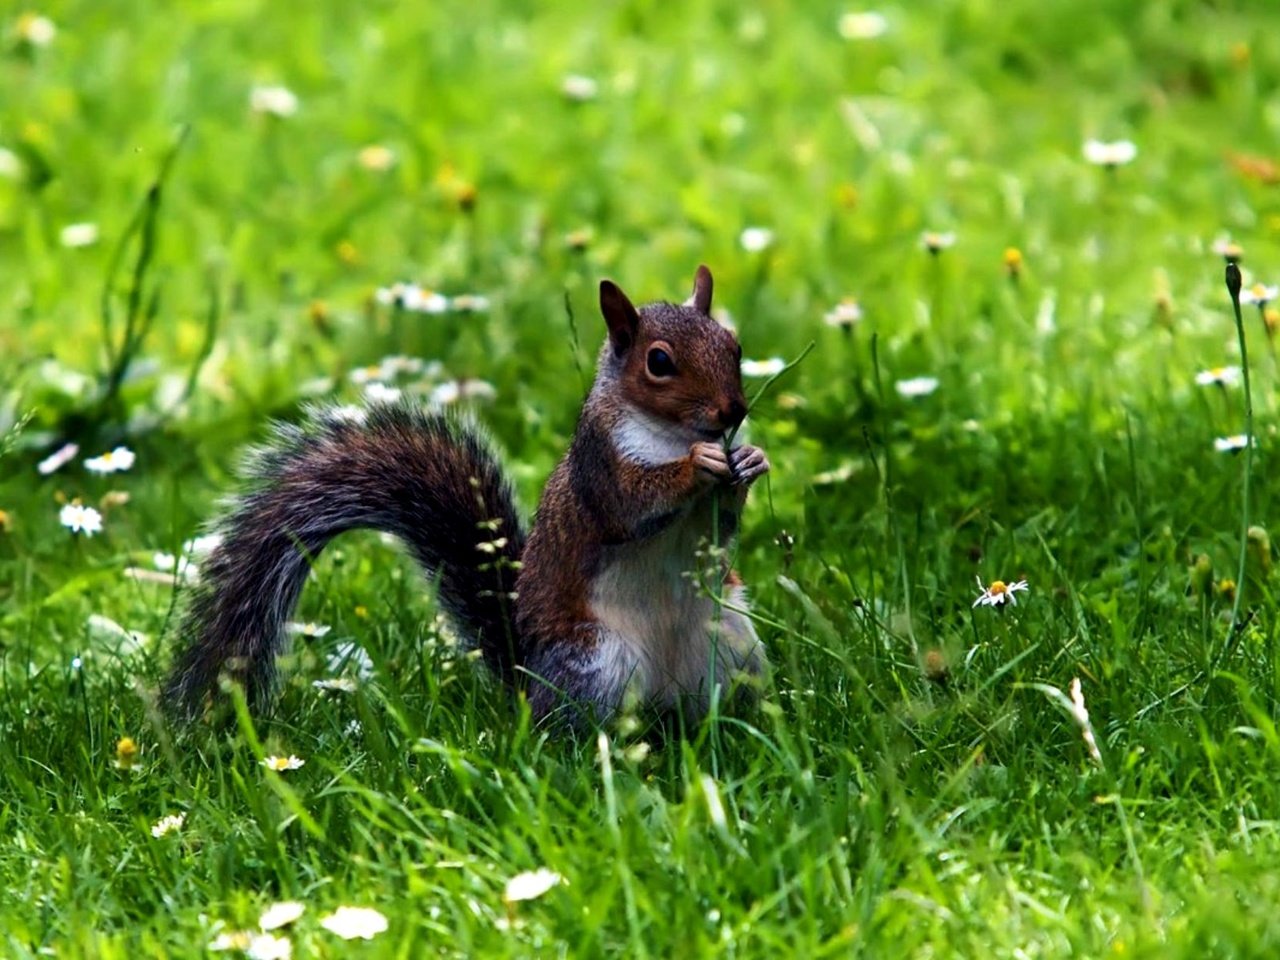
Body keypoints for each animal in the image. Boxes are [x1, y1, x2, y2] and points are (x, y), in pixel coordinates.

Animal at [166, 267, 773, 727]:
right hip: (596, 662)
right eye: (659, 362)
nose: (733, 411)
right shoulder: (599, 467)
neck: (672, 434)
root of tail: (527, 679)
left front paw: (748, 461)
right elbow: (631, 504)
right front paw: (698, 466)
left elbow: (720, 526)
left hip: (731, 641)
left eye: (735, 346)